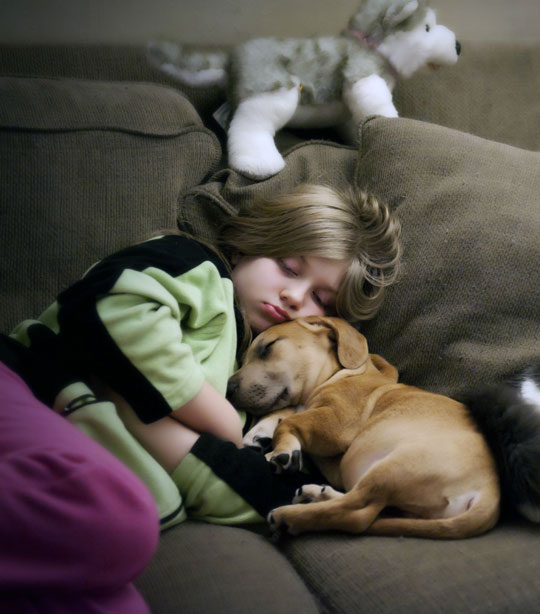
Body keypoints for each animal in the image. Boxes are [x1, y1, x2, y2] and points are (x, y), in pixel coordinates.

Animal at [227, 316, 500, 539]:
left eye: (268, 347)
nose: (228, 389)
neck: (343, 373)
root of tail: (490, 496)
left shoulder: (337, 421)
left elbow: (290, 421)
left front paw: (281, 449)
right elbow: (284, 412)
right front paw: (259, 433)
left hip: (395, 467)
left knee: (355, 514)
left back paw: (288, 517)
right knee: (365, 506)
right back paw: (317, 494)